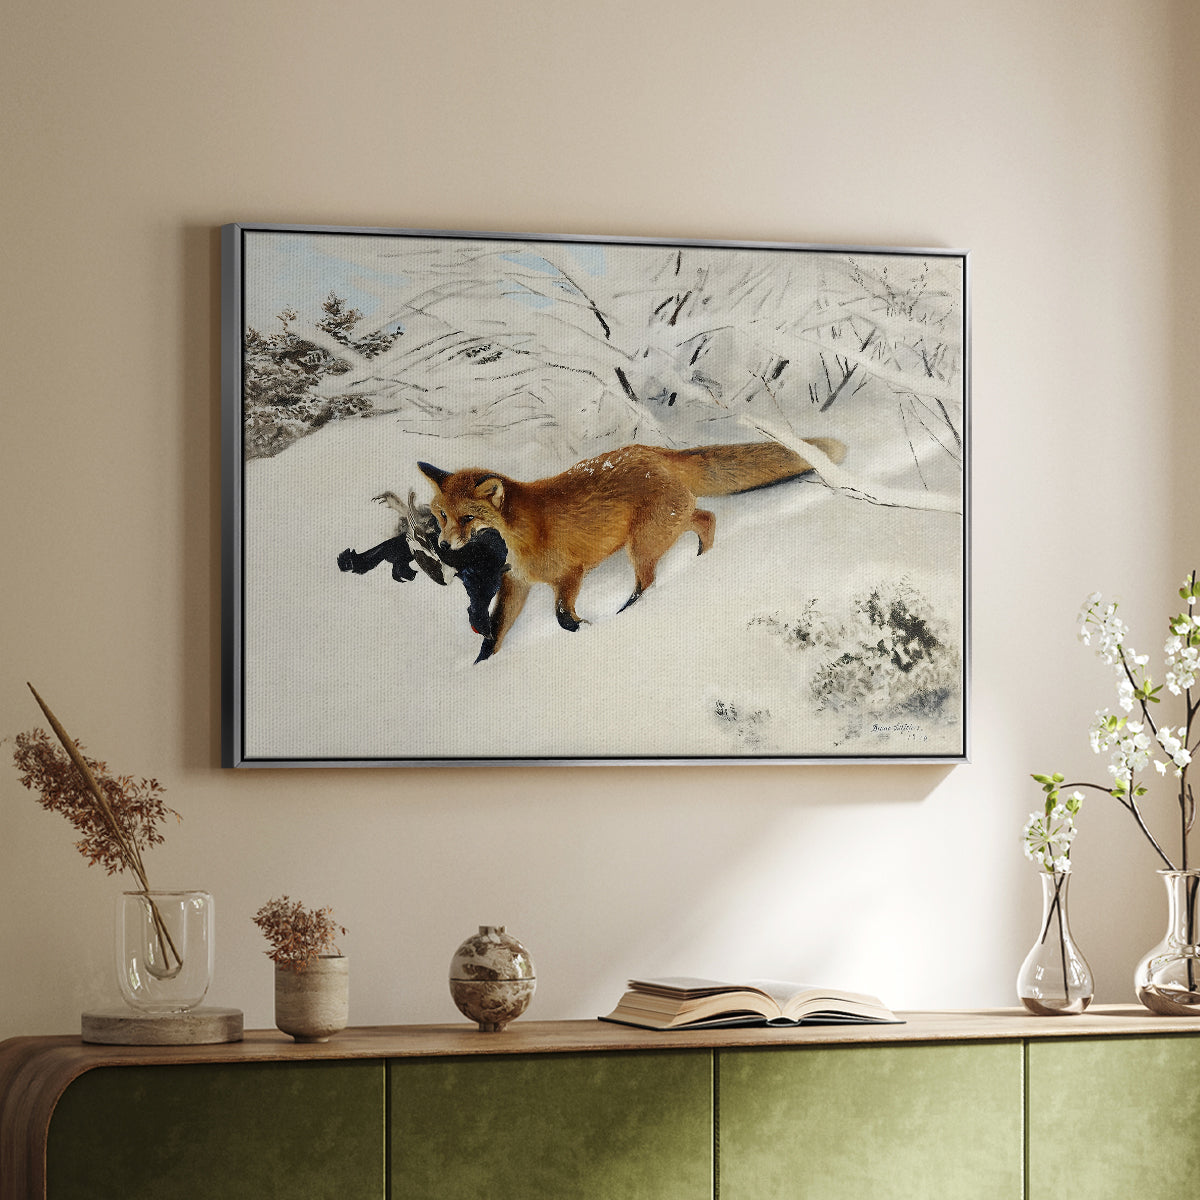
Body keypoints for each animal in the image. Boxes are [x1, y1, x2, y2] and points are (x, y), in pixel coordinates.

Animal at [418, 436, 846, 659]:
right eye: (442, 515)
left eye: (467, 518)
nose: (443, 544)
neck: (521, 535)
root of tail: (655, 451)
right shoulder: (516, 583)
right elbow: (494, 634)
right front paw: (480, 667)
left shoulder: (570, 573)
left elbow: (562, 616)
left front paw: (586, 629)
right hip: (664, 527)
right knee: (706, 518)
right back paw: (702, 559)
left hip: (642, 545)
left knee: (649, 582)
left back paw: (630, 611)